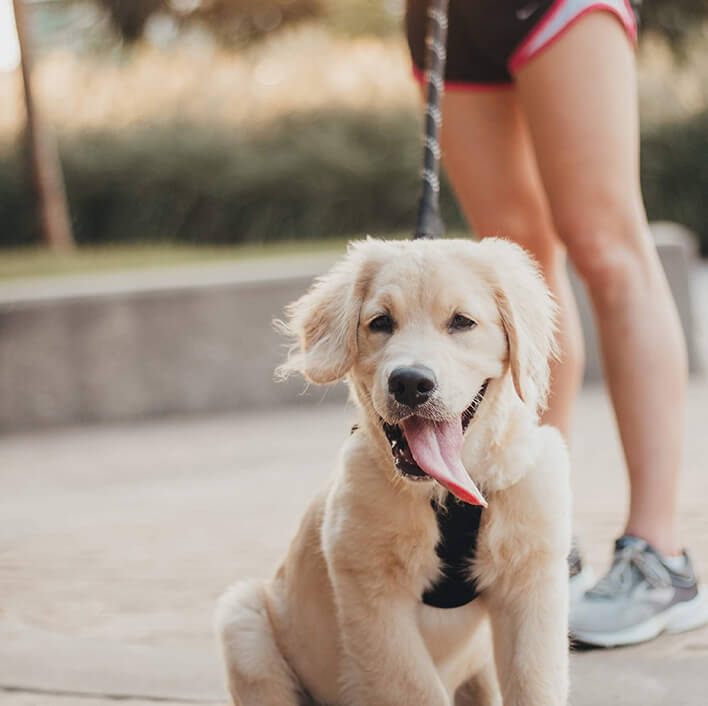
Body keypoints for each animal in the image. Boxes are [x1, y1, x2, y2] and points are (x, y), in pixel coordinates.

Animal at [214, 236, 568, 704]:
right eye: (381, 322)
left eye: (462, 322)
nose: (410, 383)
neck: (444, 496)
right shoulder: (373, 595)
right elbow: (415, 689)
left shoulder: (532, 583)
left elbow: (534, 684)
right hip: (244, 624)